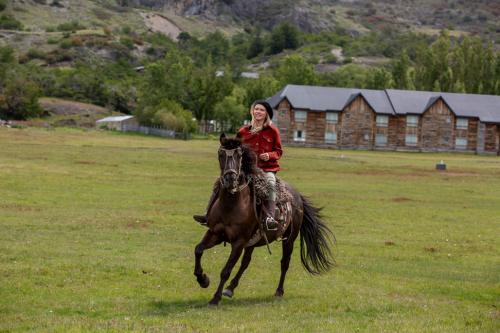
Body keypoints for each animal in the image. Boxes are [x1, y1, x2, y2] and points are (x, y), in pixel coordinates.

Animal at [193, 134, 334, 304]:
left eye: (239, 155)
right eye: (221, 153)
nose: (230, 179)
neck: (231, 205)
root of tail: (297, 197)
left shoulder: (238, 242)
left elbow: (226, 270)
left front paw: (215, 298)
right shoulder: (215, 233)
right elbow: (198, 249)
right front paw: (203, 279)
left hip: (289, 240)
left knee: (284, 263)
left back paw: (279, 291)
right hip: (253, 242)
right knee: (246, 262)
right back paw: (230, 288)